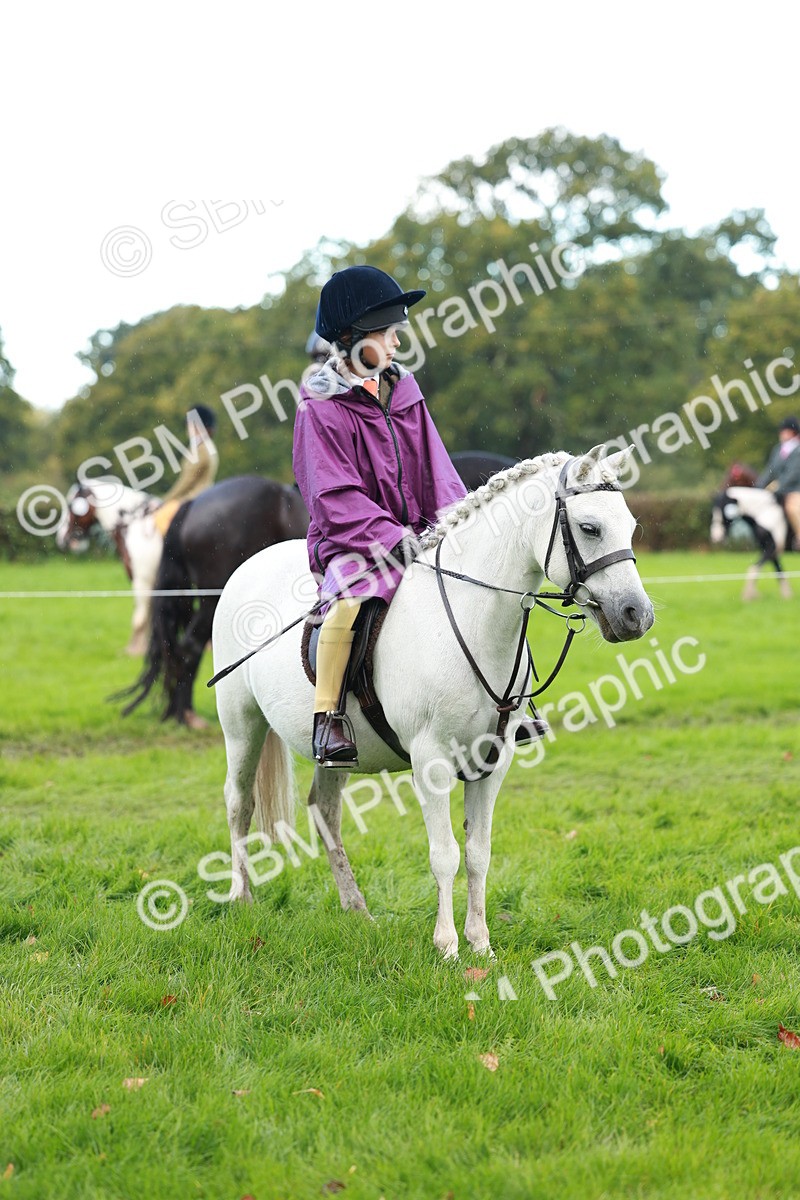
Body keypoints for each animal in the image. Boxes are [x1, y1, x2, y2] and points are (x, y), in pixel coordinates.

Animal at [55, 481, 163, 655]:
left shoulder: (142, 581)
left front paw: (135, 651)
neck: (135, 524)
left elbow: (140, 618)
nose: (61, 539)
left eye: (71, 506)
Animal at [210, 446, 654, 958]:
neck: (470, 615)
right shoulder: (431, 760)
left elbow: (478, 853)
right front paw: (447, 946)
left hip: (332, 754)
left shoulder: (493, 761)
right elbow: (445, 855)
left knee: (325, 811)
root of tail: (249, 565)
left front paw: (481, 943)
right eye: (589, 528)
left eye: (630, 525)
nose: (637, 615)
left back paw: (356, 909)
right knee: (238, 804)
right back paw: (241, 898)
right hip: (241, 725)